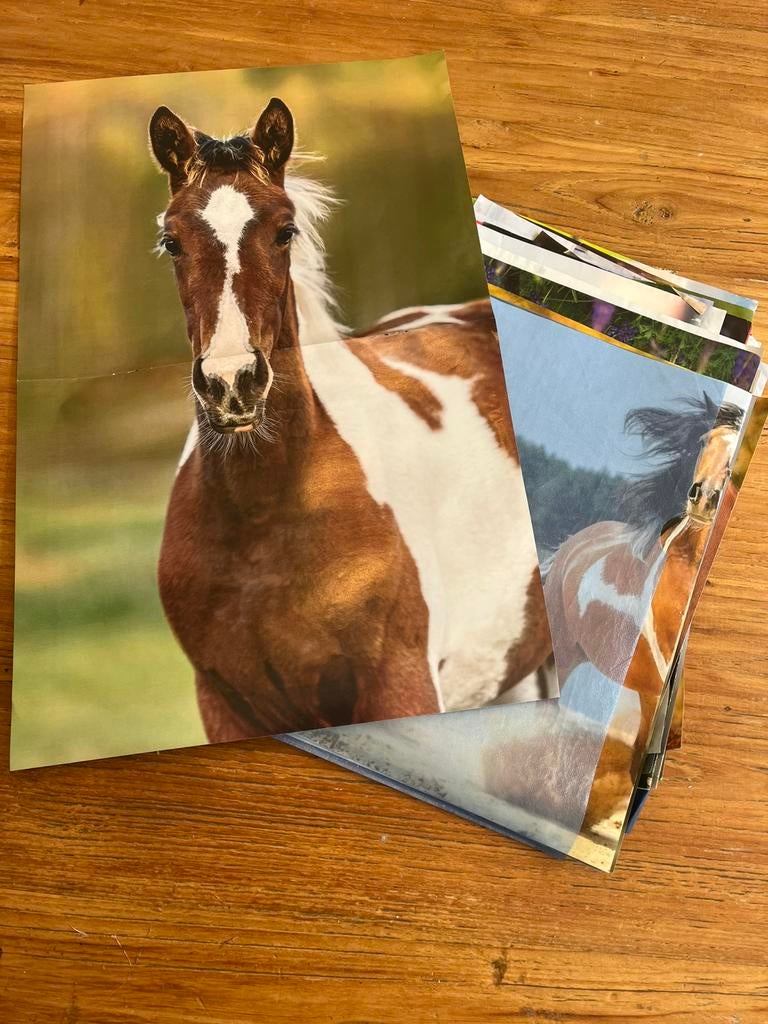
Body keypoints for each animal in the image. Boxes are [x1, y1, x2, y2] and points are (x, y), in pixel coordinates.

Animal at [149, 99, 552, 742]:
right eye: (172, 240)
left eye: (284, 230)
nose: (232, 384)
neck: (266, 515)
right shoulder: (226, 709)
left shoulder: (402, 693)